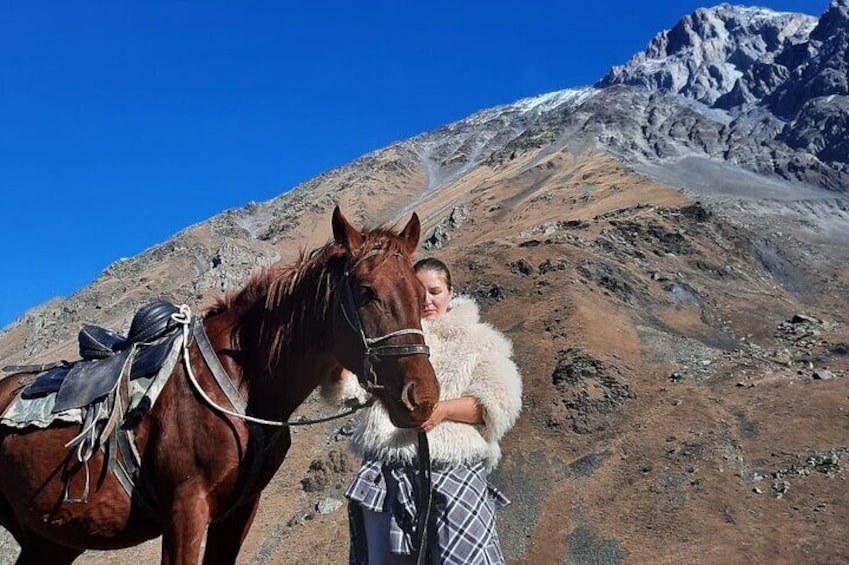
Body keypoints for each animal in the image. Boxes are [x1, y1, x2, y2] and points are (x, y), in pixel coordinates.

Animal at [0, 208, 438, 564]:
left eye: (421, 293)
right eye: (366, 292)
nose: (423, 396)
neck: (243, 382)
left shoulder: (239, 513)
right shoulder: (186, 509)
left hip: (51, 540)